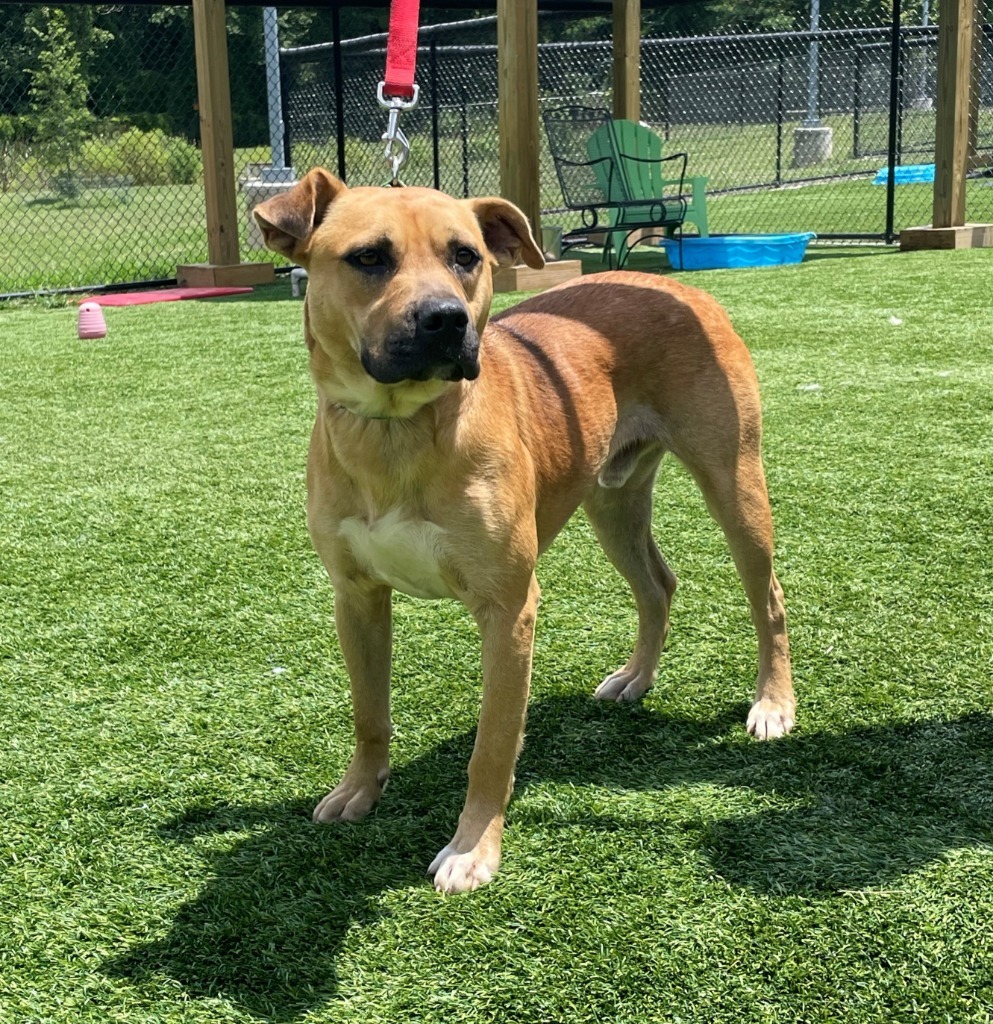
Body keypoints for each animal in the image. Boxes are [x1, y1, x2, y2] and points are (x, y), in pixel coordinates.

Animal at [251, 167, 794, 888]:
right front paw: (359, 790)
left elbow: (492, 744)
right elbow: (369, 712)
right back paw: (636, 677)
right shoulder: (356, 596)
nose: (446, 319)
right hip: (611, 500)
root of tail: (677, 286)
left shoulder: (507, 608)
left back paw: (773, 703)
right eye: (368, 257)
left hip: (734, 484)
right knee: (657, 584)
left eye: (466, 256)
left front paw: (472, 848)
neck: (399, 428)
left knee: (768, 600)